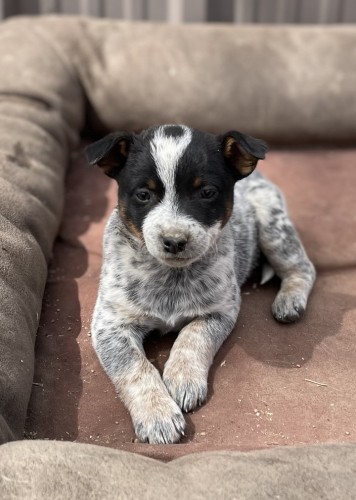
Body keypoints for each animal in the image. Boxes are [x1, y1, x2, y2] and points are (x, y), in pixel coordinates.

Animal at [85, 123, 314, 444]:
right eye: (143, 194)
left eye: (207, 192)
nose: (174, 241)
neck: (171, 277)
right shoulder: (110, 324)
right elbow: (135, 367)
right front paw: (157, 415)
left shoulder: (221, 310)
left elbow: (192, 337)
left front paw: (182, 379)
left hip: (273, 227)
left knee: (303, 267)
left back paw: (289, 300)